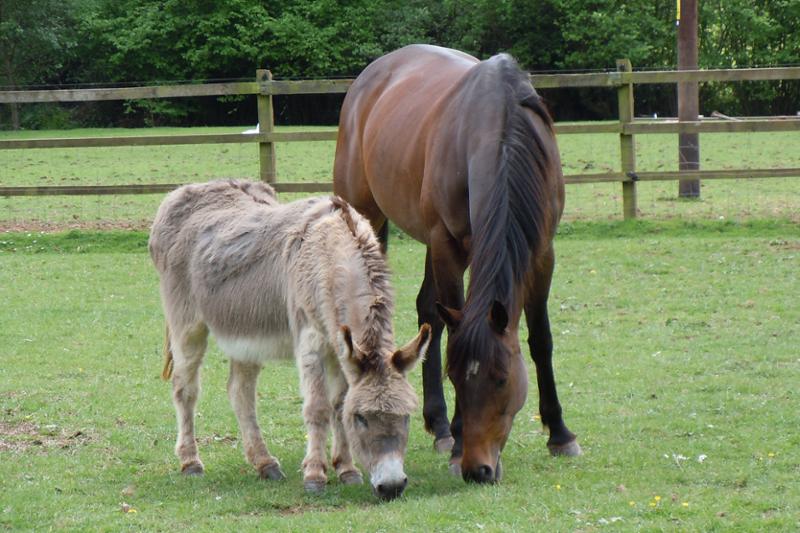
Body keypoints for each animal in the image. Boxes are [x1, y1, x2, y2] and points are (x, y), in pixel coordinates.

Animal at [149, 180, 431, 500]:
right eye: (361, 418)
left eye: (407, 416)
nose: (392, 487)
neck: (329, 255)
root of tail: (183, 191)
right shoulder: (312, 341)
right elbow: (318, 408)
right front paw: (315, 475)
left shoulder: (340, 348)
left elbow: (338, 404)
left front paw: (346, 469)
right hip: (187, 325)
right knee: (185, 389)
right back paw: (191, 462)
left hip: (244, 335)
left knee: (240, 392)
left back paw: (265, 464)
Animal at [334, 44, 581, 484]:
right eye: (456, 377)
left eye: (502, 379)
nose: (477, 469)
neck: (502, 131)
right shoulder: (448, 245)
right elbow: (451, 329)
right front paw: (460, 441)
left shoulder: (541, 253)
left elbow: (540, 339)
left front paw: (559, 433)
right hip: (370, 219)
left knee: (426, 308)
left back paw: (439, 425)